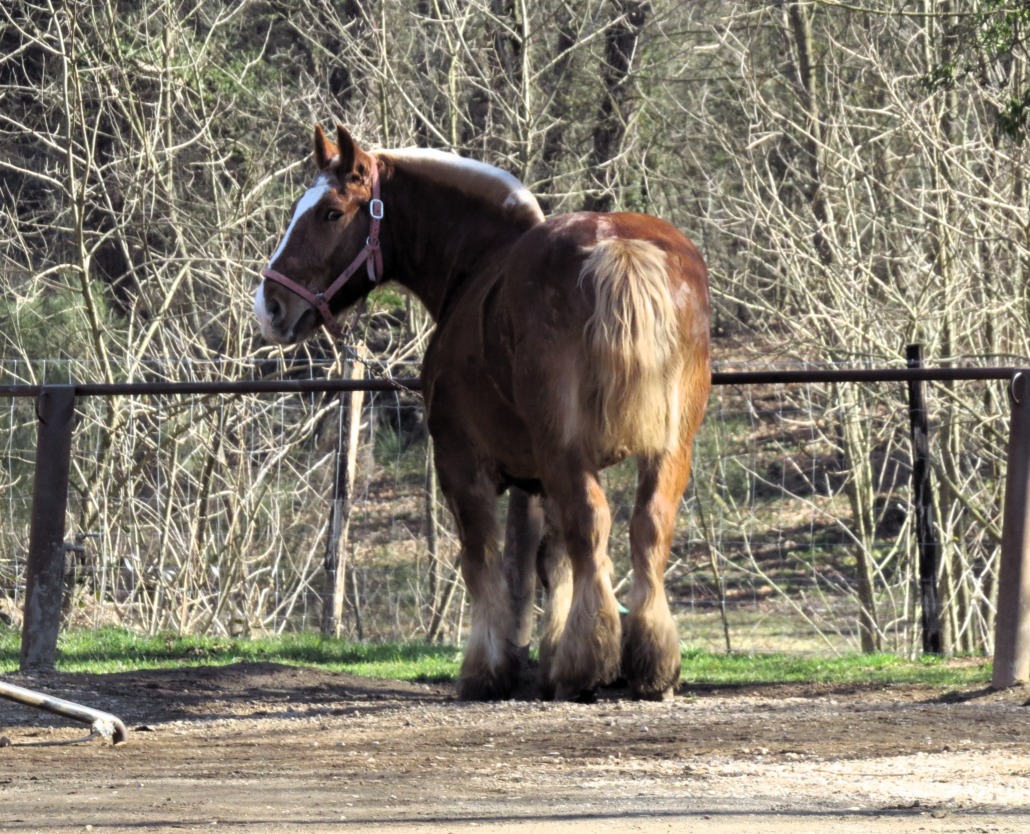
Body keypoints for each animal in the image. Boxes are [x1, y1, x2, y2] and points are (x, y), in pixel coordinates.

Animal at [254, 125, 711, 701]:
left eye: (331, 212)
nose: (270, 306)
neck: (478, 266)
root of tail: (618, 245)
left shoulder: (460, 463)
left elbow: (482, 557)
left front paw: (488, 667)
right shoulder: (536, 480)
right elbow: (549, 563)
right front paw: (543, 658)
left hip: (568, 451)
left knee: (592, 526)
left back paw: (586, 665)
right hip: (669, 451)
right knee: (647, 529)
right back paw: (649, 665)